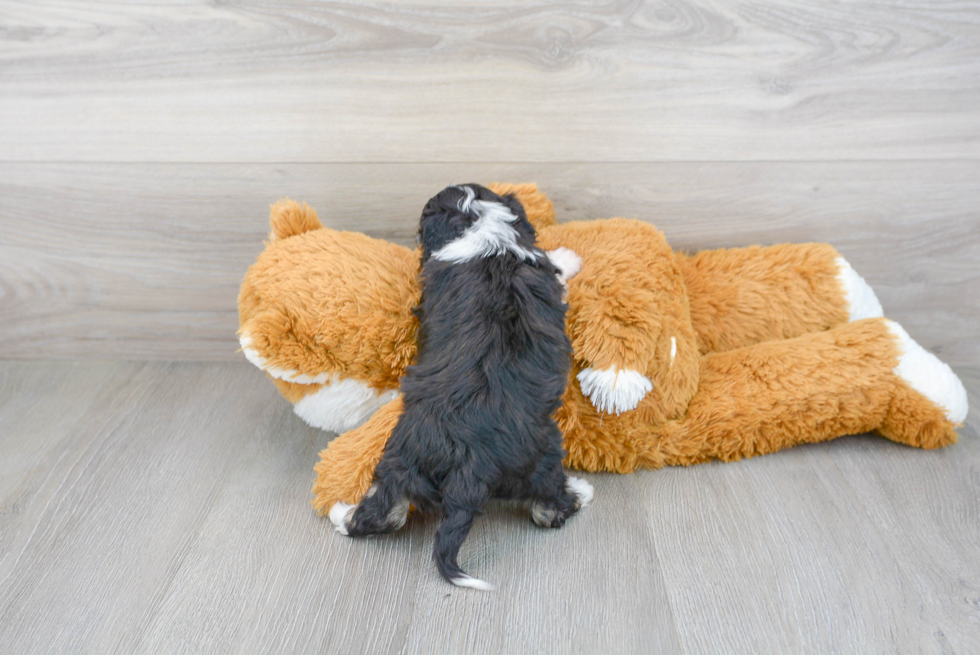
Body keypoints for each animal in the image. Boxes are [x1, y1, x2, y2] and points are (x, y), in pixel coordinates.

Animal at [330, 183, 592, 588]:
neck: (480, 224)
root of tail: (468, 458)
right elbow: (556, 264)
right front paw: (569, 255)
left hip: (401, 457)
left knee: (385, 510)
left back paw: (341, 514)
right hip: (542, 452)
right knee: (547, 509)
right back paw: (579, 492)